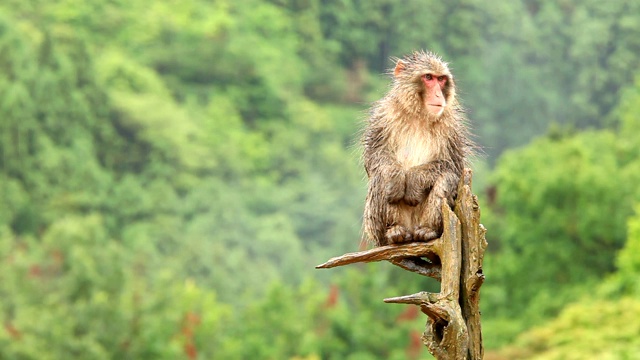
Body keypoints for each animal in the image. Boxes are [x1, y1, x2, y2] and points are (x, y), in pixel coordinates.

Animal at [362, 50, 472, 246]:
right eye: (428, 77)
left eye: (441, 79)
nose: (438, 95)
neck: (419, 114)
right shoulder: (383, 115)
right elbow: (374, 156)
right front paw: (396, 177)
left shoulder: (452, 126)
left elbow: (453, 166)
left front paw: (414, 180)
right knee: (380, 177)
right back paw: (394, 231)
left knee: (446, 178)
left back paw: (428, 230)